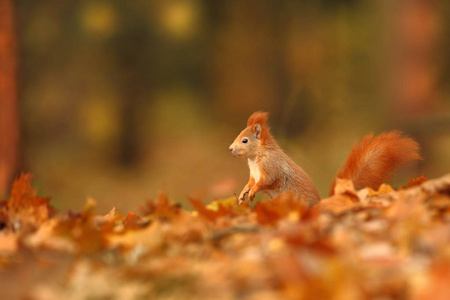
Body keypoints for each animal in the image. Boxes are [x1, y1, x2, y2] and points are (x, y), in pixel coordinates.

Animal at [229, 111, 422, 205]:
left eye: (245, 140)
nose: (230, 148)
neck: (255, 158)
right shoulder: (254, 174)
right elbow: (250, 182)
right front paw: (244, 193)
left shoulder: (271, 167)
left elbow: (266, 181)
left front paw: (253, 192)